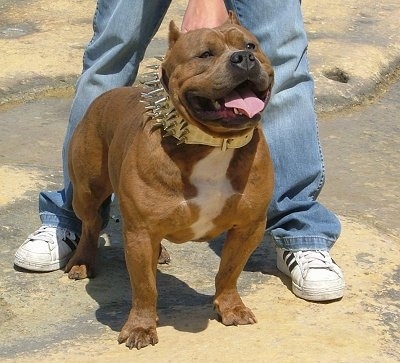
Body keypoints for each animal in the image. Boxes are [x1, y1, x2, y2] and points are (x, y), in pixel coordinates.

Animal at [65, 12, 276, 352]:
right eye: (205, 54)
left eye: (251, 46)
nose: (243, 58)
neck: (213, 144)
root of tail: (105, 96)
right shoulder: (140, 233)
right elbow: (145, 287)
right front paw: (140, 327)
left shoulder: (249, 226)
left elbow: (229, 271)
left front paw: (230, 307)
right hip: (86, 192)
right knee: (90, 224)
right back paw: (83, 261)